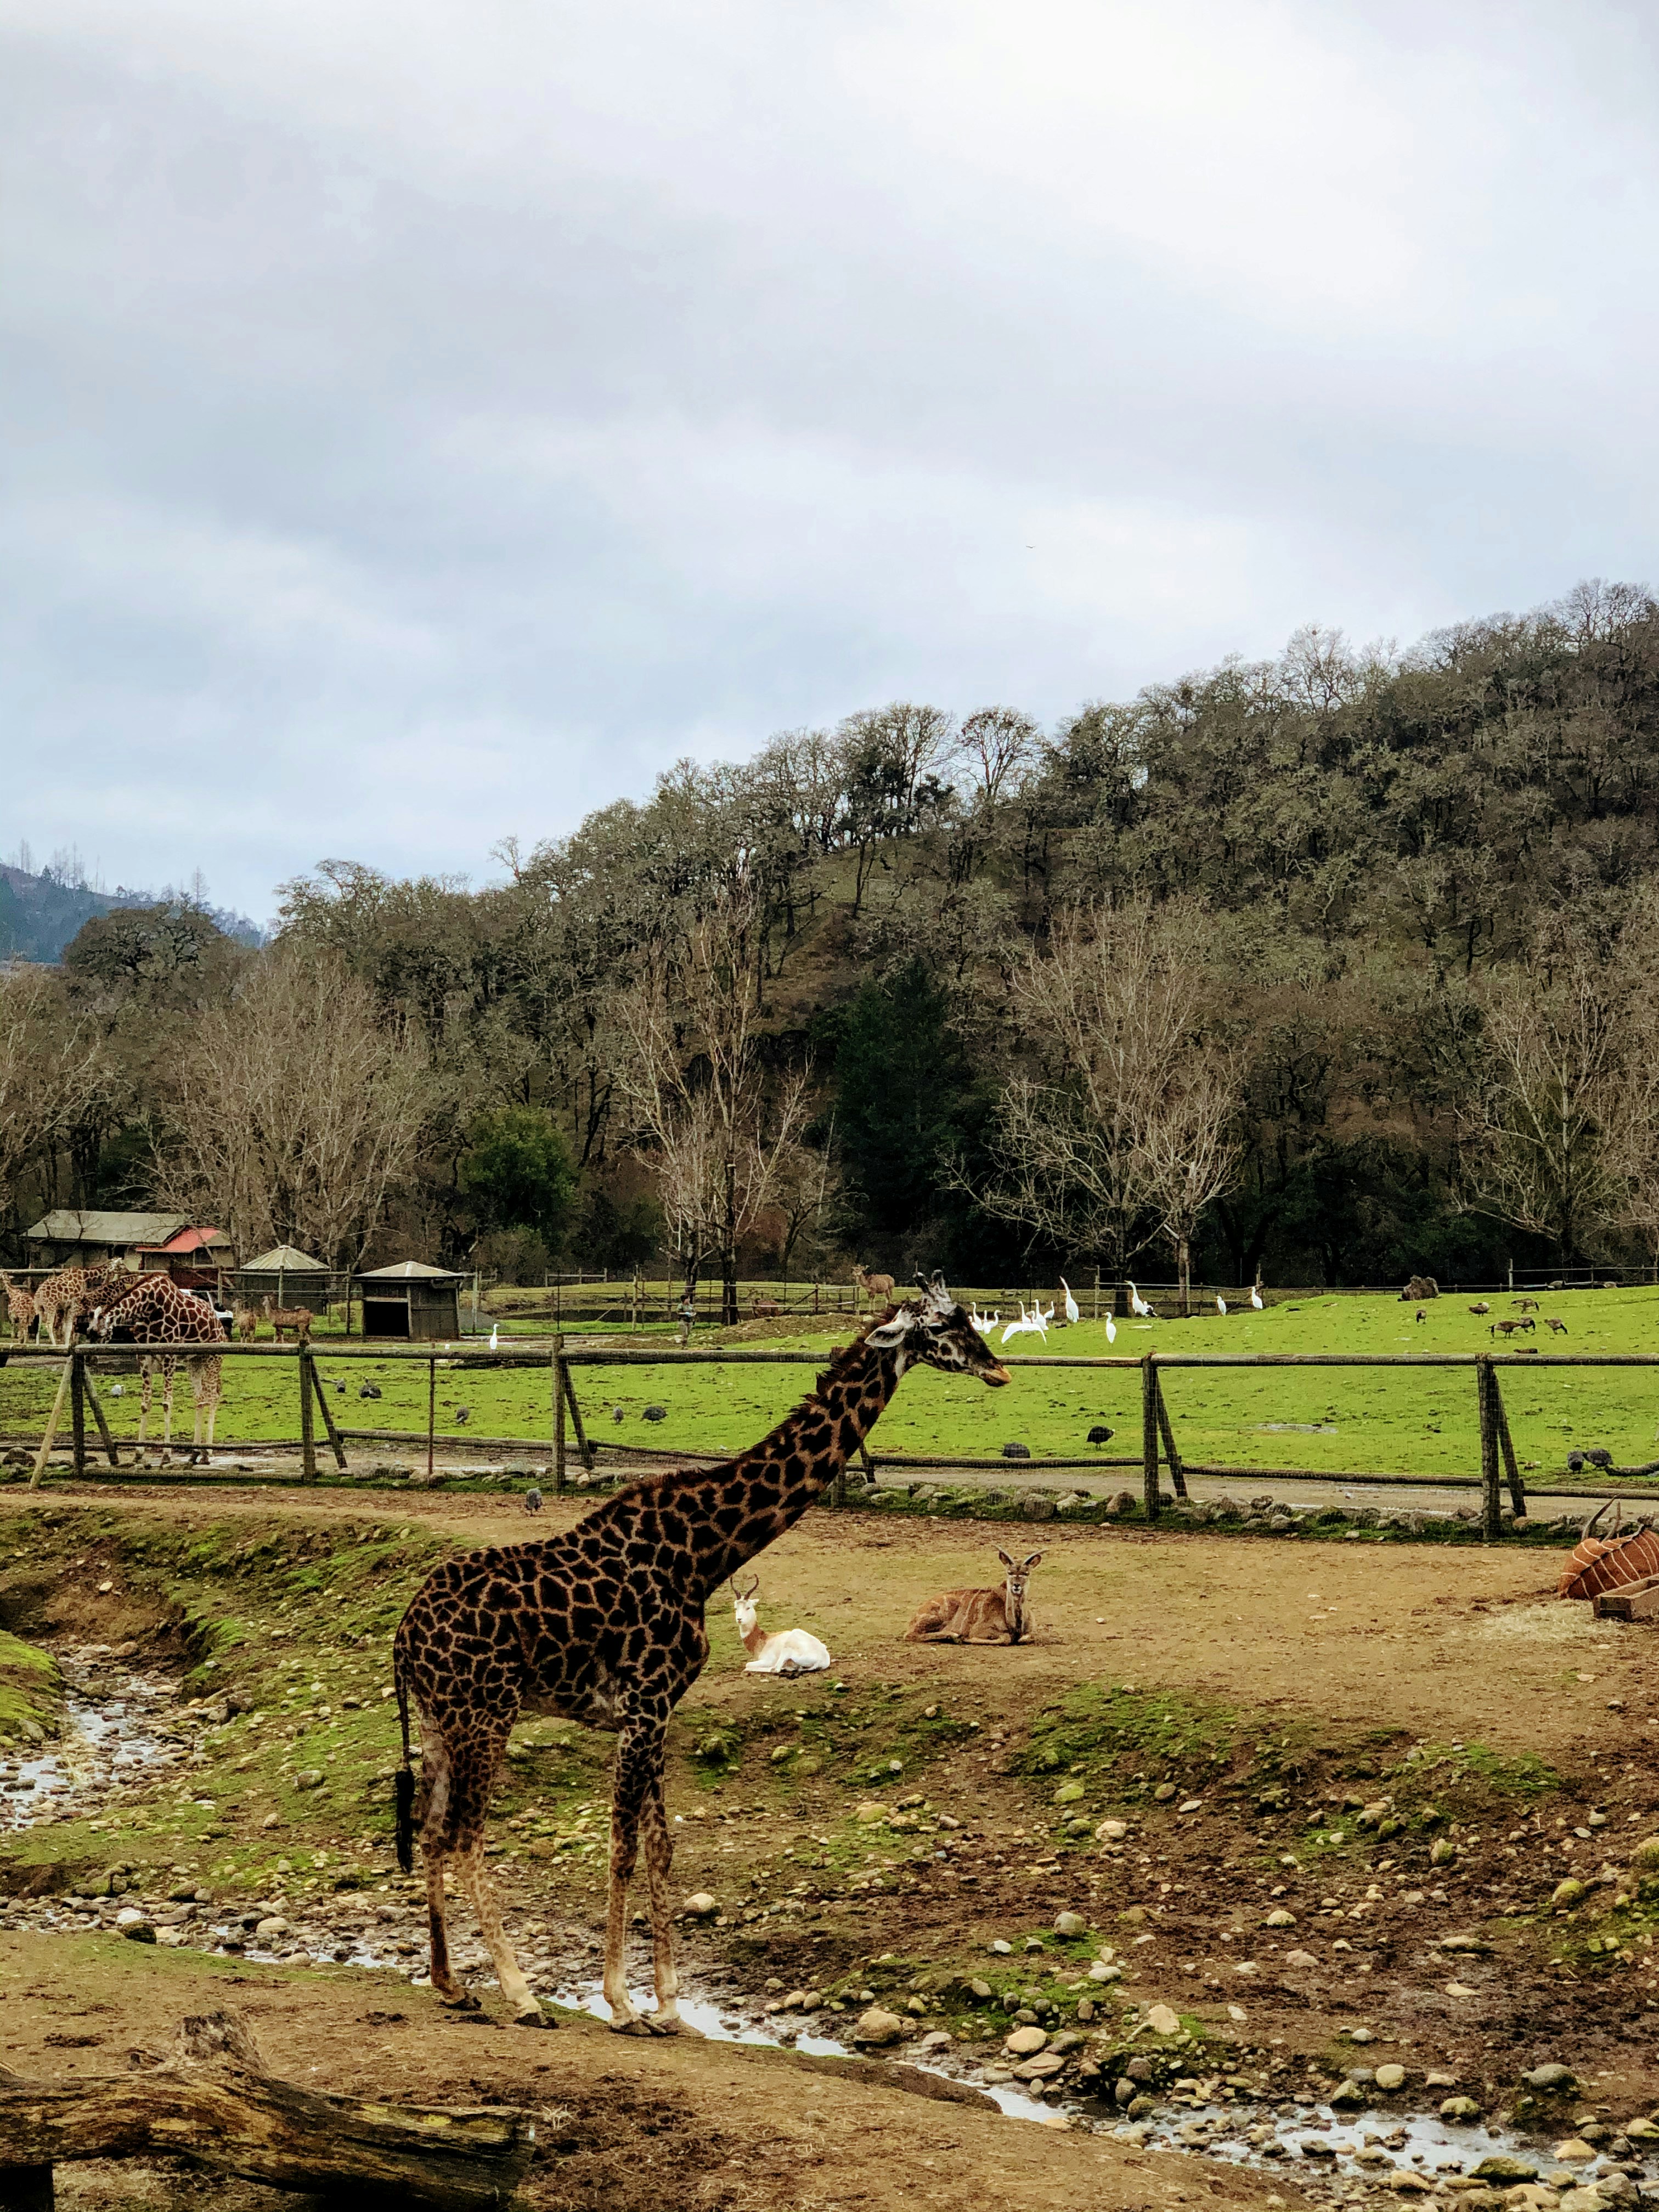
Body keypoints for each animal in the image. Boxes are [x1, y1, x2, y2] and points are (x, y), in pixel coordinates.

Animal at [85, 1272, 227, 1465]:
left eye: (100, 1334)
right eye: (88, 1332)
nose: (89, 1358)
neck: (148, 1307)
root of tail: (220, 1326)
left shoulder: (169, 1355)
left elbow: (167, 1403)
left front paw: (166, 1456)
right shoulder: (145, 1356)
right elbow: (145, 1404)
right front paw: (138, 1454)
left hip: (214, 1358)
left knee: (213, 1397)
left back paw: (208, 1452)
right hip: (194, 1362)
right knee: (200, 1398)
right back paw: (195, 1453)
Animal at [392, 1271, 1010, 2034]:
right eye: (945, 1326)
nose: (997, 1368)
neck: (706, 1554)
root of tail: (403, 1635)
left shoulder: (657, 1714)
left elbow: (661, 1846)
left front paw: (670, 2006)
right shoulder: (643, 1706)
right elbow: (624, 1847)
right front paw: (622, 2003)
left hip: (440, 1718)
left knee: (430, 1830)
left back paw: (452, 1985)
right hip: (488, 1714)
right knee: (467, 1835)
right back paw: (522, 1995)